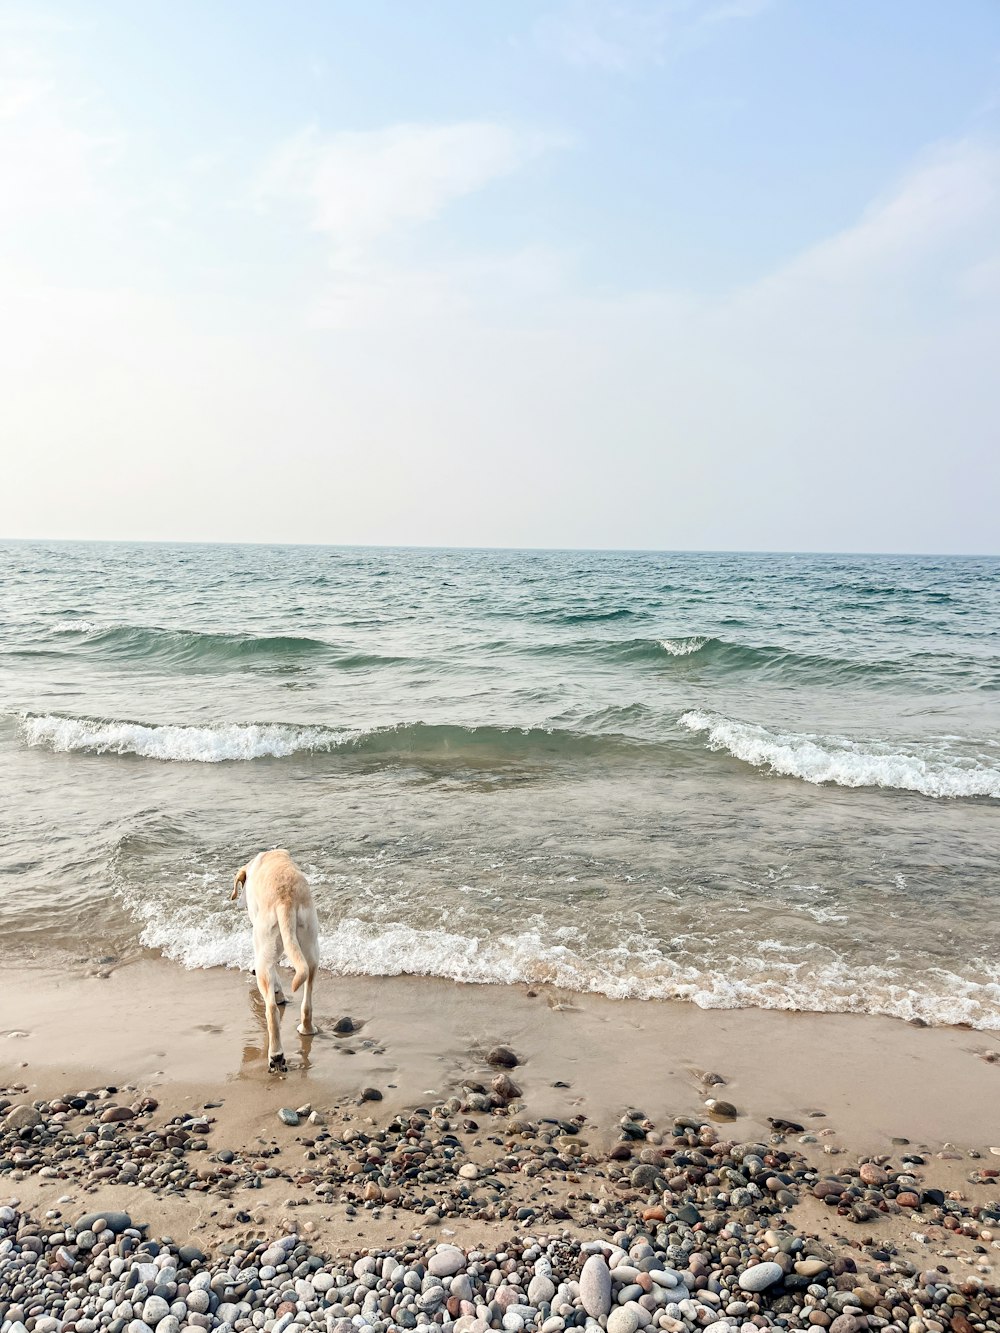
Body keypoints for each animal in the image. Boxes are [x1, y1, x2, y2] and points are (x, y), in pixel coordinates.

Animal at [230, 853, 321, 1071]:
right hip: (311, 947)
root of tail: (285, 900)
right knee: (307, 997)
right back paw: (307, 1029)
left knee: (271, 1010)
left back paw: (276, 1056)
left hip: (265, 941)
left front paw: (278, 991)